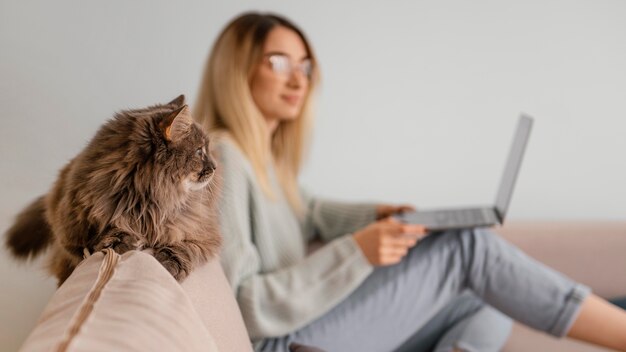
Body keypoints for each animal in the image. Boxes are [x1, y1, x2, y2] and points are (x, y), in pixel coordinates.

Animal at [2, 95, 221, 284]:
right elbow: (102, 235)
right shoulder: (69, 230)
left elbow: (185, 248)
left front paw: (168, 264)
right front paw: (120, 242)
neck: (147, 202)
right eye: (199, 151)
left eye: (206, 149)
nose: (215, 167)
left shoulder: (202, 233)